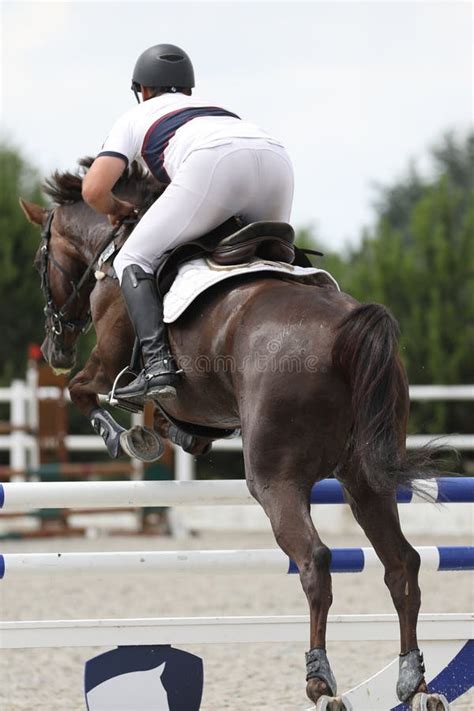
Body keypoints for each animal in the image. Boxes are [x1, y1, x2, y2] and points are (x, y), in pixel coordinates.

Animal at [19, 159, 448, 708]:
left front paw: (125, 437)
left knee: (316, 561)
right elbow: (172, 421)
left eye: (40, 261)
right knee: (402, 565)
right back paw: (414, 681)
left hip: (274, 480)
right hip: (364, 481)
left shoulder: (108, 358)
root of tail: (346, 329)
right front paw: (162, 436)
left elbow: (83, 392)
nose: (55, 350)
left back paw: (321, 681)